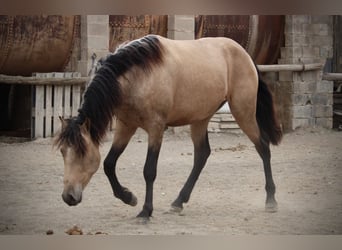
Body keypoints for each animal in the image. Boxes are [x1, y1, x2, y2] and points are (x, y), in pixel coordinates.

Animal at [54, 34, 282, 219]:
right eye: (63, 152)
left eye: (82, 153)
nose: (68, 197)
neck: (137, 74)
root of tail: (244, 53)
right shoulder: (126, 126)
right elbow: (109, 164)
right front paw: (129, 197)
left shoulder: (155, 128)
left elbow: (149, 170)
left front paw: (146, 211)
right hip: (201, 118)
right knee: (202, 155)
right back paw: (178, 202)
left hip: (243, 112)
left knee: (263, 147)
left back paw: (271, 200)